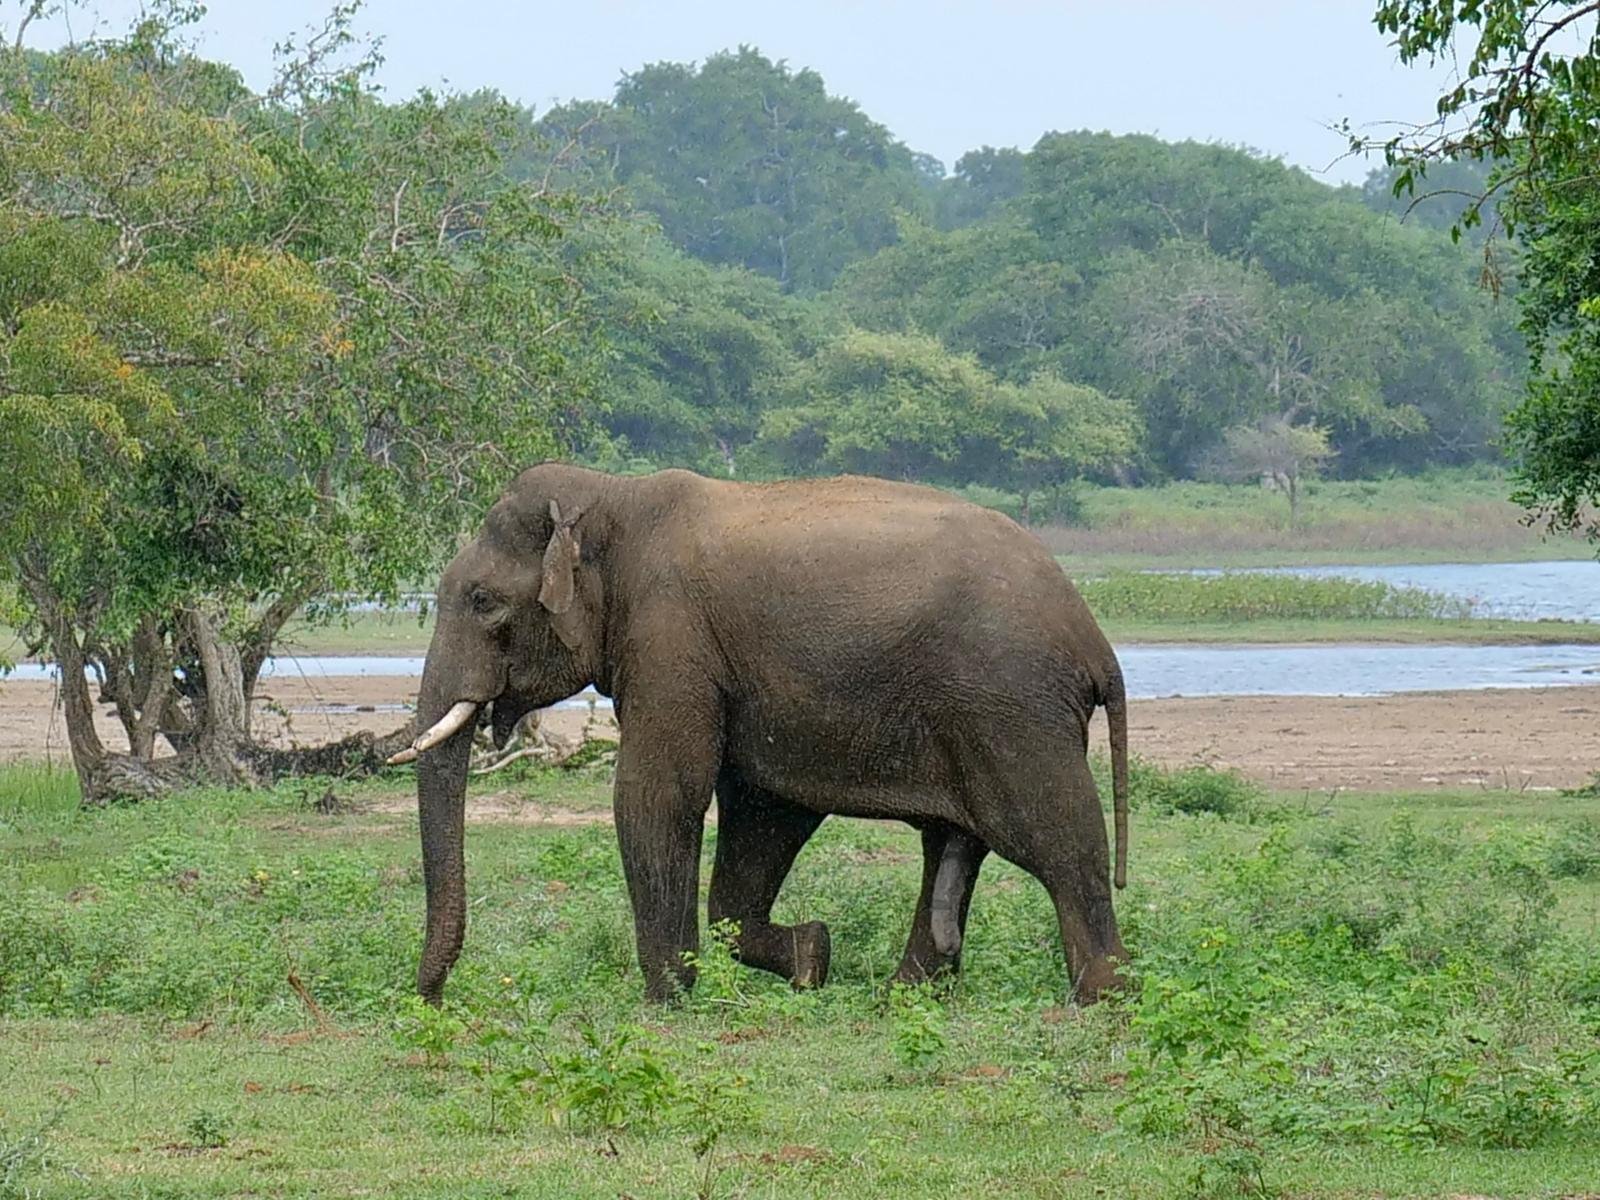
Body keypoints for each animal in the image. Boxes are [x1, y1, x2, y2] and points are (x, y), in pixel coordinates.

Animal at [391, 462, 1131, 1004]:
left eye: (482, 601)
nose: (430, 997)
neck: (614, 495)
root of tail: (1096, 643)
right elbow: (764, 810)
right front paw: (812, 956)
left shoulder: (672, 639)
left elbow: (659, 794)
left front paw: (667, 999)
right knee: (952, 845)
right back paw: (904, 995)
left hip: (1012, 707)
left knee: (1055, 837)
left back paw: (1097, 998)